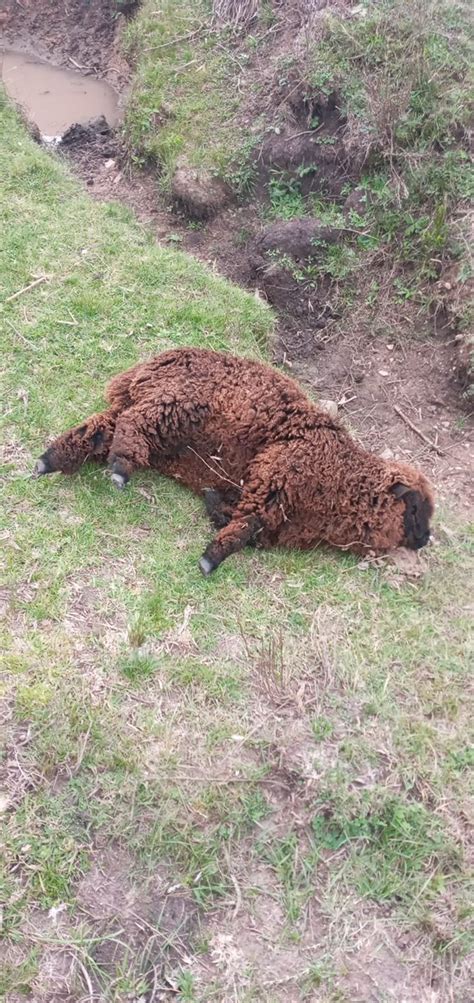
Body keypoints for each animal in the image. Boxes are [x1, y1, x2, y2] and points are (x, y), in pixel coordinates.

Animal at [32, 349, 432, 577]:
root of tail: (152, 365)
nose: (426, 539)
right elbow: (244, 527)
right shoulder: (276, 476)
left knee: (99, 429)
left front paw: (213, 506)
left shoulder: (270, 514)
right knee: (129, 426)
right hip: (172, 403)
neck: (345, 475)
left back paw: (48, 461)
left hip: (155, 414)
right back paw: (118, 471)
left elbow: (242, 524)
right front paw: (210, 560)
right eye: (416, 508)